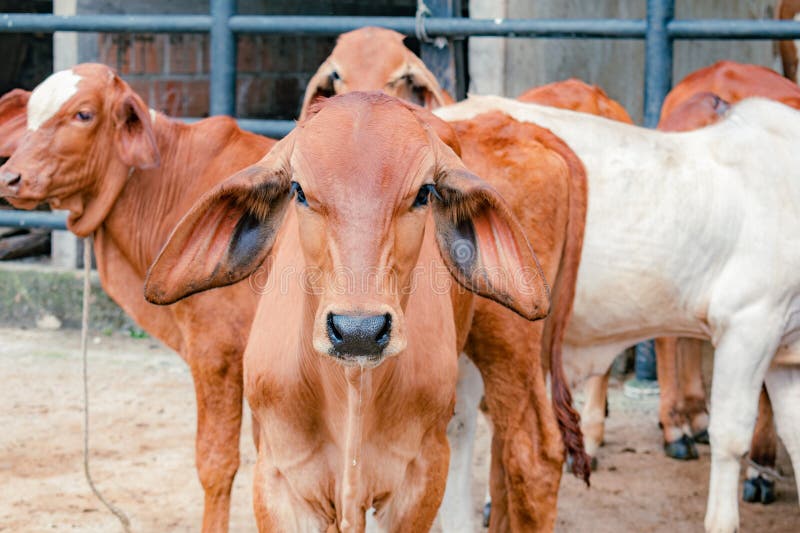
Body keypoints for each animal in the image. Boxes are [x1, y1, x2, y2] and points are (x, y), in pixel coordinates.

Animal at [143, 91, 578, 531]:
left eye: (424, 193)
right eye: (299, 190)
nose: (358, 331)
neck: (350, 389)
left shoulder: (418, 479)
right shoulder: (279, 479)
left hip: (509, 343)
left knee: (531, 454)